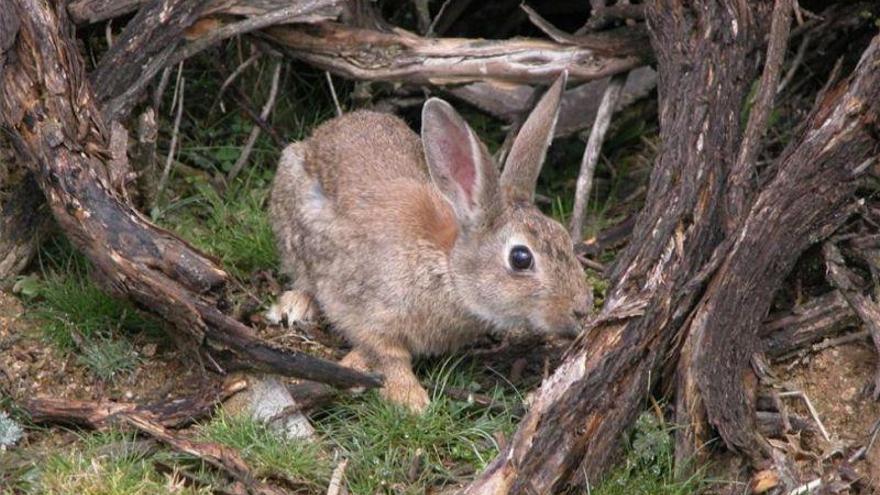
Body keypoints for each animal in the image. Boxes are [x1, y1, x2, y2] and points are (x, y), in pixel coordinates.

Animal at [264, 73, 588, 412]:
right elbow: (387, 353)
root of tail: (320, 134)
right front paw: (410, 399)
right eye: (521, 258)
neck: (447, 268)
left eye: (564, 236)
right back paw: (296, 305)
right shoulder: (370, 309)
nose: (582, 309)